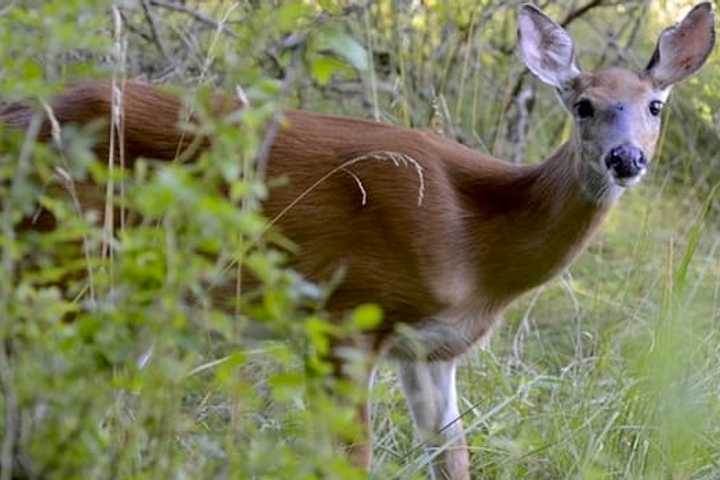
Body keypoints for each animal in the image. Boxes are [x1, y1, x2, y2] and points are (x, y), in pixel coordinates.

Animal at [1, 1, 716, 478]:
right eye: (583, 105)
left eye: (655, 106)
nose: (626, 159)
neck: (476, 244)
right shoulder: (346, 312)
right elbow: (352, 456)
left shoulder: (431, 351)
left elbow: (453, 455)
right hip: (59, 260)